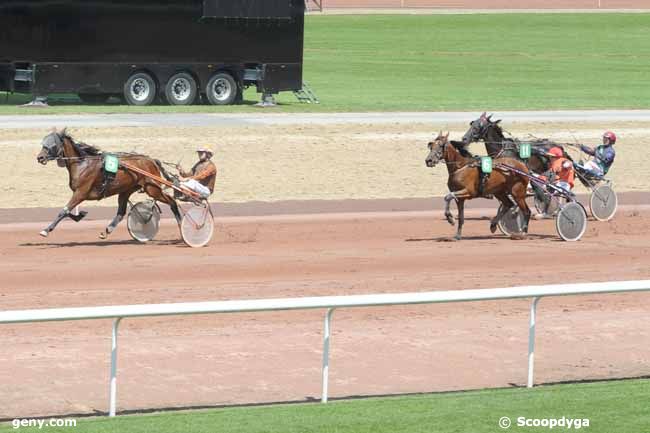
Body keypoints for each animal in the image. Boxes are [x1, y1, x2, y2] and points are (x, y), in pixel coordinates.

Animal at [36, 128, 181, 238]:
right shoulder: (79, 194)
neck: (82, 164)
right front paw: (80, 215)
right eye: (43, 142)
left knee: (172, 202)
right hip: (126, 190)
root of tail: (151, 160)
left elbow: (64, 211)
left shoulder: (81, 192)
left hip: (152, 188)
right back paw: (107, 230)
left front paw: (46, 230)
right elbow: (68, 211)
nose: (40, 157)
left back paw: (181, 224)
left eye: (52, 144)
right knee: (121, 212)